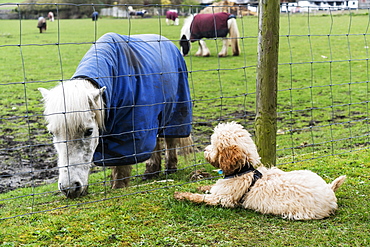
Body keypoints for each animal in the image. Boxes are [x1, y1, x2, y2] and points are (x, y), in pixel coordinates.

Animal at [39, 32, 192, 199]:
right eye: (52, 133)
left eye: (89, 131)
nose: (70, 188)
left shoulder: (127, 133)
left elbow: (121, 164)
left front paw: (118, 187)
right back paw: (151, 171)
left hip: (175, 111)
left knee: (170, 139)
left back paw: (170, 168)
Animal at [175, 121, 346, 220]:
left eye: (215, 145)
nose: (204, 150)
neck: (244, 170)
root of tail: (329, 190)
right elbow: (208, 188)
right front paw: (200, 186)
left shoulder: (224, 199)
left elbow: (201, 197)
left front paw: (182, 195)